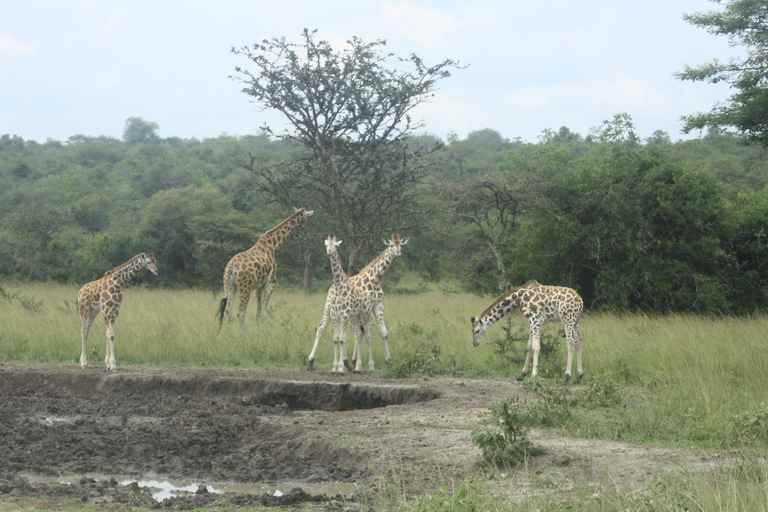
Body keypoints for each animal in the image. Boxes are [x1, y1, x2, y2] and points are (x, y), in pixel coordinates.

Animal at [308, 234, 412, 370]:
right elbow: (360, 332)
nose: (398, 253)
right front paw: (354, 362)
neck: (375, 280)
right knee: (321, 328)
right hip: (328, 309)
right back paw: (311, 361)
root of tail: (331, 287)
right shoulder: (362, 309)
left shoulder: (377, 305)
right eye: (391, 245)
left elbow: (382, 332)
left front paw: (388, 361)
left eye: (401, 244)